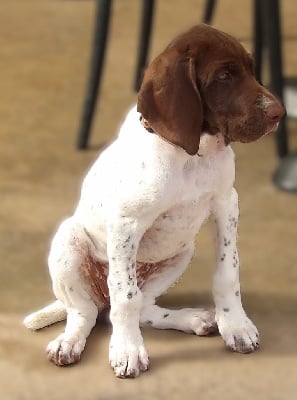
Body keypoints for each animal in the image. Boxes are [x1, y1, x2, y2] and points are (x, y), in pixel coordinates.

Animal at [24, 25, 284, 378]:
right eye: (224, 76)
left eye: (251, 70)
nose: (279, 113)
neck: (191, 155)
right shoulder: (126, 224)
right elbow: (125, 295)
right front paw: (127, 350)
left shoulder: (226, 204)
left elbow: (227, 272)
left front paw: (235, 325)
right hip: (69, 240)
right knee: (88, 311)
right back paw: (69, 342)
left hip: (181, 252)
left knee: (143, 308)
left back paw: (192, 319)